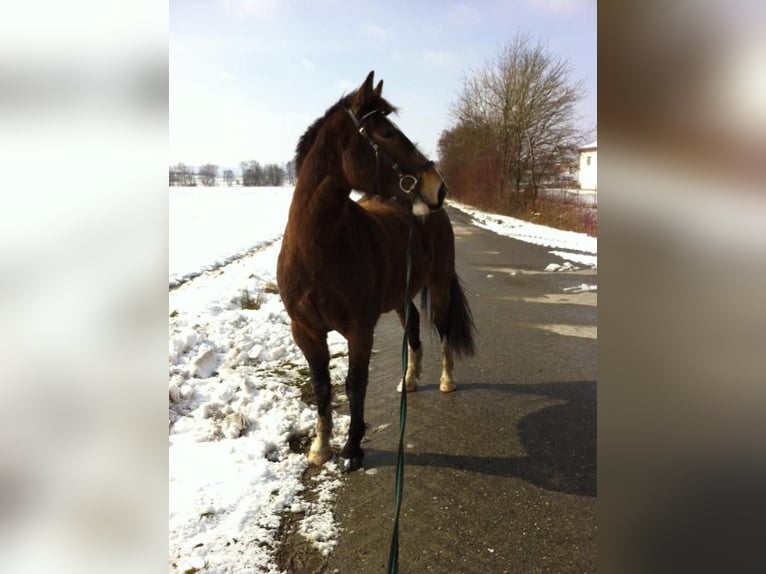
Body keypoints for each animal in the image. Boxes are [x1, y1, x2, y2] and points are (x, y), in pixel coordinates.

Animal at [280, 71, 476, 472]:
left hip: (439, 285)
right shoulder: (305, 331)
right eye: (385, 133)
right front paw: (320, 448)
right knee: (414, 326)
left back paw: (446, 380)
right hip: (400, 296)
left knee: (443, 328)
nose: (438, 187)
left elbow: (356, 383)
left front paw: (352, 449)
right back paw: (409, 380)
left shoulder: (359, 329)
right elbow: (322, 385)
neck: (315, 252)